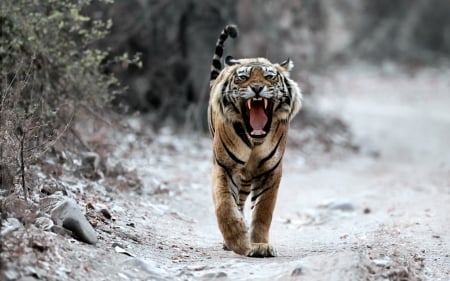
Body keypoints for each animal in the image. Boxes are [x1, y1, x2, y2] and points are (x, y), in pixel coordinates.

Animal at [207, 24, 302, 256]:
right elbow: (224, 205)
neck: (255, 140)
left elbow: (263, 211)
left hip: (247, 178)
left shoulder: (271, 171)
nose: (257, 87)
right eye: (243, 78)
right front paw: (238, 242)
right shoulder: (224, 166)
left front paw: (260, 245)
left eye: (270, 77)